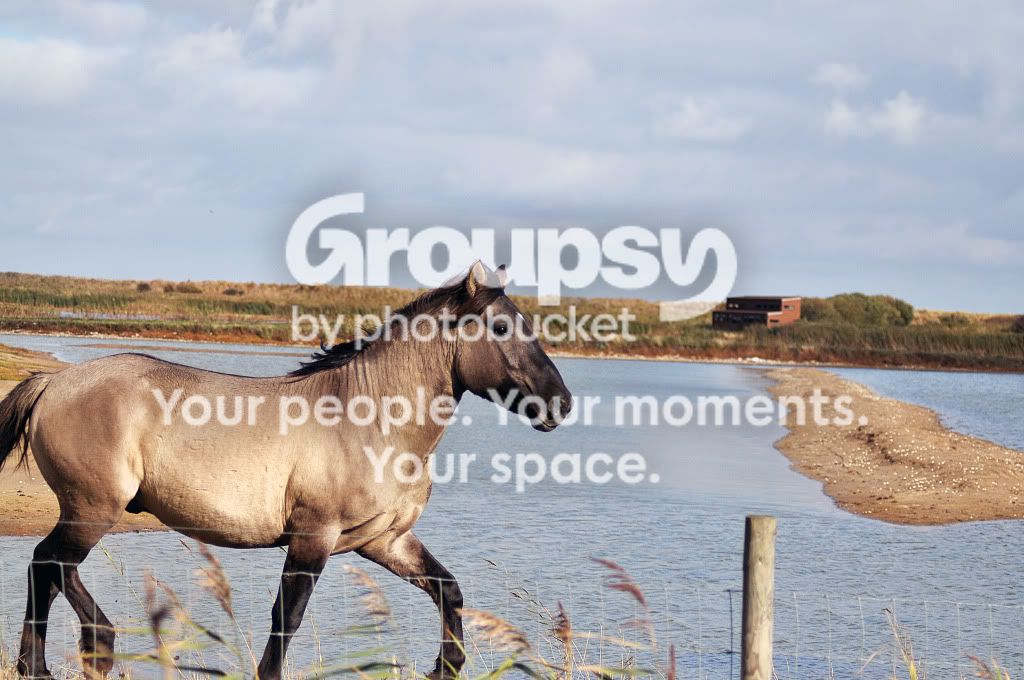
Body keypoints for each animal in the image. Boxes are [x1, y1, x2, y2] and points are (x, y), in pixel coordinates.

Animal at [0, 262, 572, 680]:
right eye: (501, 327)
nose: (561, 403)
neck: (369, 419)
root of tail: (53, 382)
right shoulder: (312, 538)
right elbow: (287, 618)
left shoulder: (385, 541)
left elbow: (448, 590)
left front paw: (445, 667)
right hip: (93, 508)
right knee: (46, 564)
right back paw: (74, 652)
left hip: (90, 511)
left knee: (49, 569)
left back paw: (67, 655)